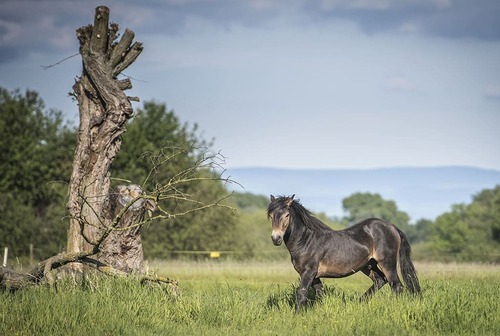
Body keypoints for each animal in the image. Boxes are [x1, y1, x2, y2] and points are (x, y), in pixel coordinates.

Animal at [268, 194, 420, 312]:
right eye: (271, 216)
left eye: (287, 215)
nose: (276, 238)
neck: (306, 241)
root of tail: (392, 227)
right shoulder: (314, 276)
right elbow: (320, 294)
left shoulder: (308, 272)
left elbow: (301, 294)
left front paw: (296, 315)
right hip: (368, 265)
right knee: (380, 280)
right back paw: (358, 303)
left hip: (387, 263)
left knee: (396, 286)